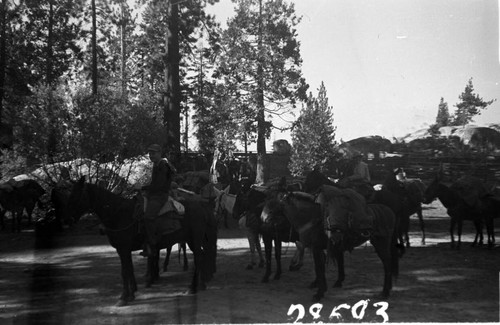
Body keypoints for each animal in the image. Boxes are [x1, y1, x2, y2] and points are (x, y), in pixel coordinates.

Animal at [67, 176, 217, 306]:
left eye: (75, 195)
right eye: (70, 194)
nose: (68, 220)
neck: (119, 214)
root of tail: (202, 207)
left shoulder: (123, 249)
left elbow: (125, 272)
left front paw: (123, 298)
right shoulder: (123, 250)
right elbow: (129, 269)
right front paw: (131, 294)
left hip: (194, 239)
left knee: (198, 258)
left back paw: (192, 287)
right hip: (193, 240)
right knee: (201, 256)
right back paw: (200, 285)